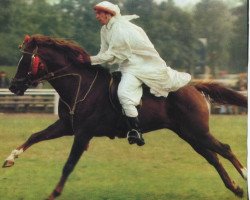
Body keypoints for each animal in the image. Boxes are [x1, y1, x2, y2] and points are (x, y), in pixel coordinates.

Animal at [2, 34, 248, 198]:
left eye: (26, 60)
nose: (13, 86)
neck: (80, 85)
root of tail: (193, 86)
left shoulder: (83, 133)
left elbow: (69, 164)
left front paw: (54, 193)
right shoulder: (66, 126)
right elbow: (35, 136)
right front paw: (11, 157)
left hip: (198, 133)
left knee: (225, 149)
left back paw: (244, 176)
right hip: (190, 135)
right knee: (213, 157)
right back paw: (234, 187)